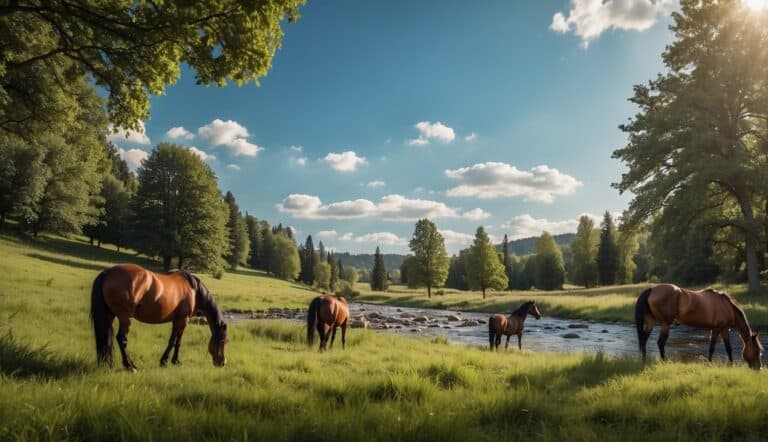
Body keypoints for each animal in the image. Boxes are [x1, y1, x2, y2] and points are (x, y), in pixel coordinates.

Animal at [91, 262, 228, 370]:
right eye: (223, 341)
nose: (222, 363)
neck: (194, 290)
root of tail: (109, 272)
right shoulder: (183, 320)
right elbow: (174, 341)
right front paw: (165, 361)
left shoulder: (177, 321)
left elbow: (177, 341)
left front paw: (174, 361)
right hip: (125, 318)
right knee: (121, 339)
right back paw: (130, 366)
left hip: (110, 315)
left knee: (107, 337)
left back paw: (109, 364)